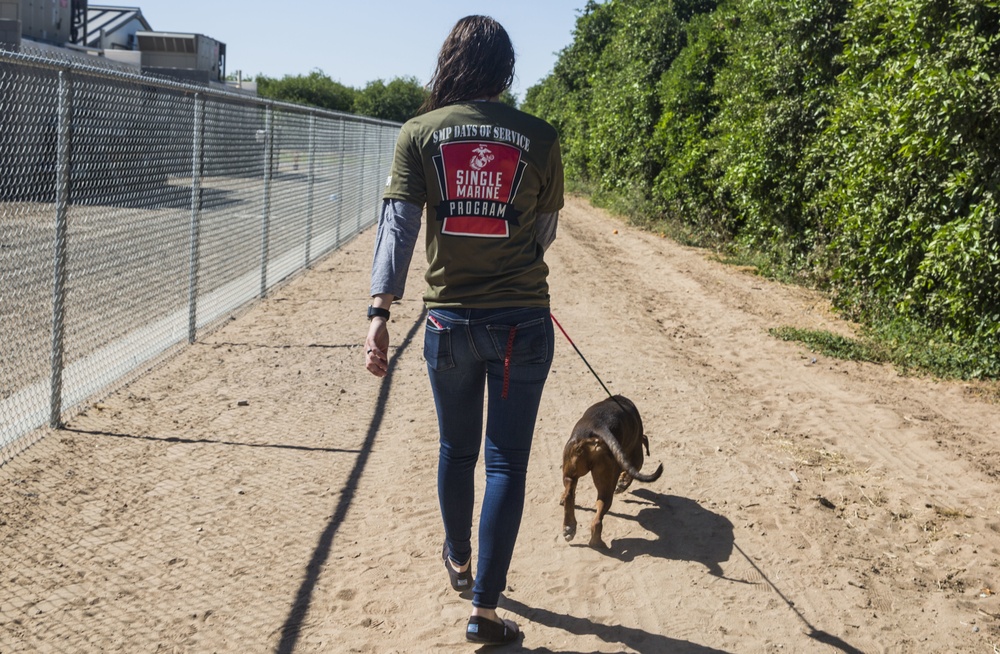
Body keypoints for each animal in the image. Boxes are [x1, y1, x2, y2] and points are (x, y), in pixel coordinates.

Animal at [564, 398, 664, 552]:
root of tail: (598, 426)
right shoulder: (635, 457)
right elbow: (631, 473)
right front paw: (622, 484)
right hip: (607, 483)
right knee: (598, 518)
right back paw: (597, 543)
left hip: (572, 471)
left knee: (570, 495)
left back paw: (569, 527)